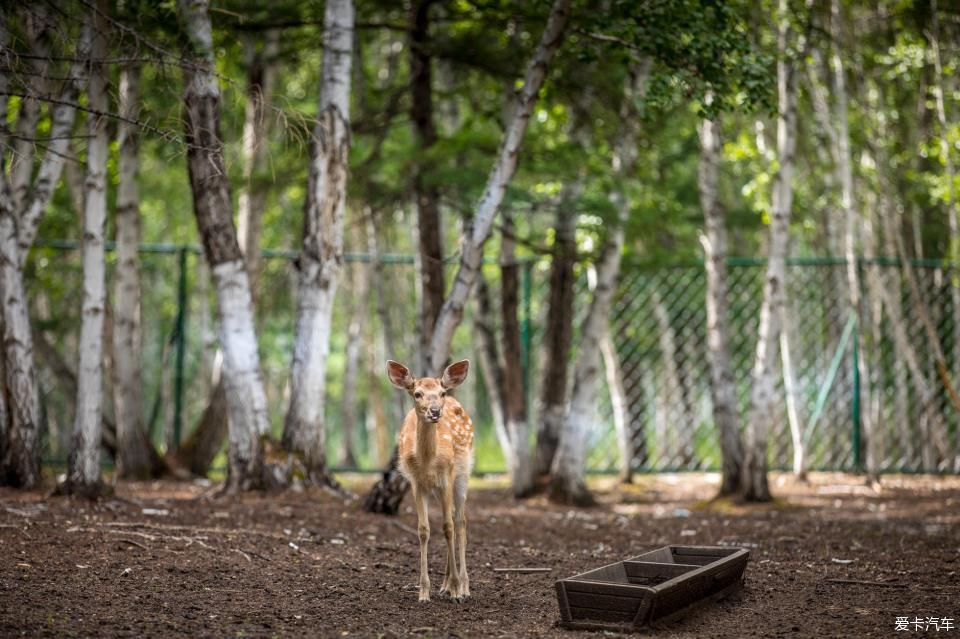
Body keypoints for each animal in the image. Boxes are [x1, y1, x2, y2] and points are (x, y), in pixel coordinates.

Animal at [388, 360, 474, 604]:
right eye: (417, 394)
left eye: (441, 393)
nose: (435, 411)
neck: (427, 461)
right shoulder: (417, 483)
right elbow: (424, 529)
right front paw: (424, 592)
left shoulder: (447, 476)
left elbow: (448, 527)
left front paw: (457, 589)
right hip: (437, 488)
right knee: (453, 520)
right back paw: (444, 586)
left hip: (463, 474)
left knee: (460, 521)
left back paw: (463, 586)